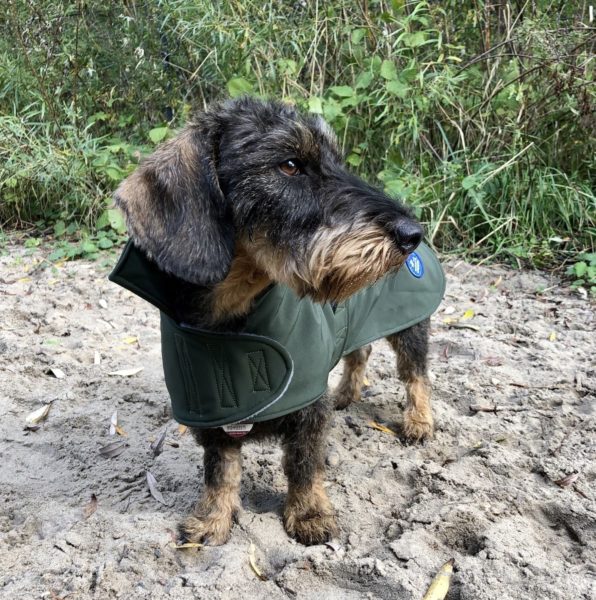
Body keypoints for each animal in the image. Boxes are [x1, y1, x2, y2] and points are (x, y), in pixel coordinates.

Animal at [110, 96, 442, 548]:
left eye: (336, 161)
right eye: (289, 165)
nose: (413, 233)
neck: (232, 321)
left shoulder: (308, 410)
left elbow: (304, 464)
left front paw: (309, 514)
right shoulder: (212, 416)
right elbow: (220, 471)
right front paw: (212, 519)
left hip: (410, 325)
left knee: (415, 374)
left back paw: (419, 421)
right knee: (360, 351)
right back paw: (345, 393)